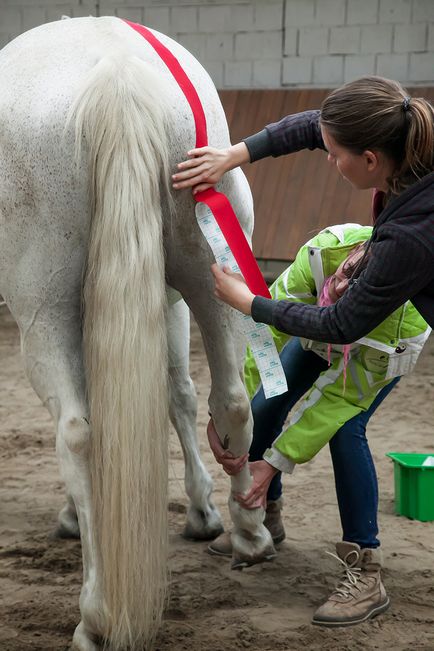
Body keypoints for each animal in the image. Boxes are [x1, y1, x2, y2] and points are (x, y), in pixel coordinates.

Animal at [0, 15, 274, 651]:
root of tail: (117, 71)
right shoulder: (162, 300)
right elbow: (180, 394)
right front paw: (203, 513)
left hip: (45, 311)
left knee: (78, 434)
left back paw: (97, 614)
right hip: (212, 276)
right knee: (232, 402)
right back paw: (249, 535)